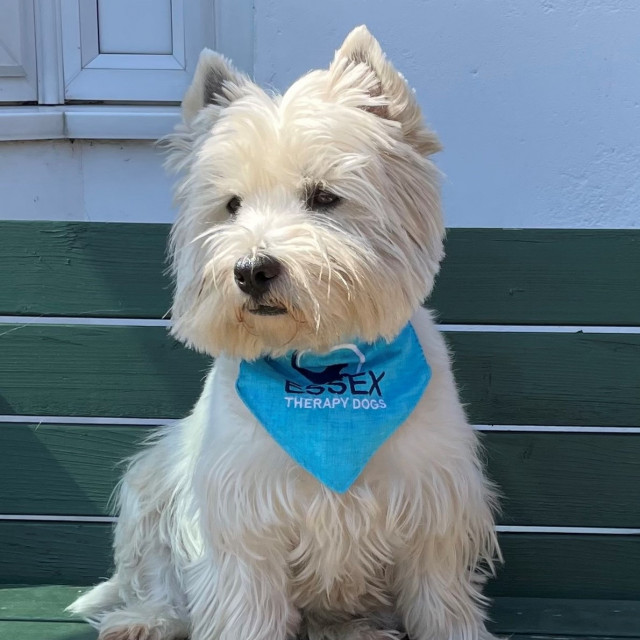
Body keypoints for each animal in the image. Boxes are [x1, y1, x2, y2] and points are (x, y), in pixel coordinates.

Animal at [70, 25, 500, 640]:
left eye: (324, 197)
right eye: (231, 205)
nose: (251, 270)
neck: (321, 371)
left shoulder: (432, 504)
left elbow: (442, 601)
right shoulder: (242, 517)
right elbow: (243, 605)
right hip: (153, 481)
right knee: (153, 574)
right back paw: (145, 619)